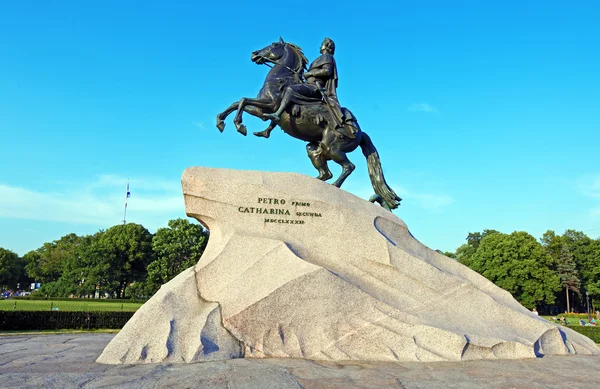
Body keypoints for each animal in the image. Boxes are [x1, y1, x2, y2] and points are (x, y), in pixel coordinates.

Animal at [213, 37, 400, 209]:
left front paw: (239, 125)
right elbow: (237, 103)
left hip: (332, 148)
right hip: (315, 149)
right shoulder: (261, 111)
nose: (254, 54)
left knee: (348, 167)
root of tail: (359, 132)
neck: (281, 78)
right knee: (326, 173)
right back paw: (313, 184)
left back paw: (334, 186)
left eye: (274, 44)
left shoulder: (269, 105)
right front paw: (221, 121)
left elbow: (243, 101)